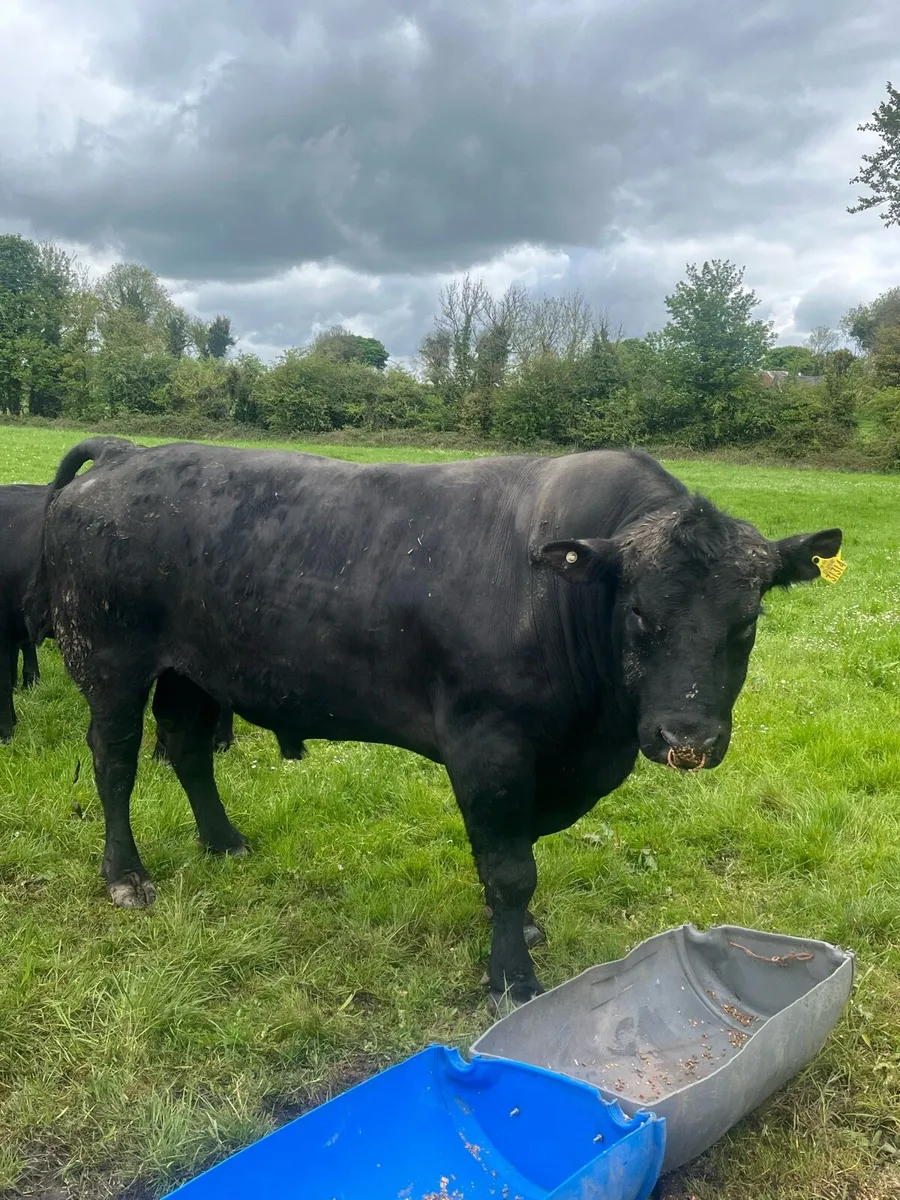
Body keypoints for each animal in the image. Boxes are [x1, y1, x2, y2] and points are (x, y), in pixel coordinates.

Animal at [26, 439, 842, 1005]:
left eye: (748, 619)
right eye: (639, 611)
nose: (687, 739)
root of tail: (128, 455)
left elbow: (513, 857)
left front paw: (523, 933)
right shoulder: (489, 746)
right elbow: (510, 868)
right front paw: (512, 976)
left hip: (193, 674)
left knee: (190, 750)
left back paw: (224, 841)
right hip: (110, 662)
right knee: (115, 760)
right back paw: (126, 875)